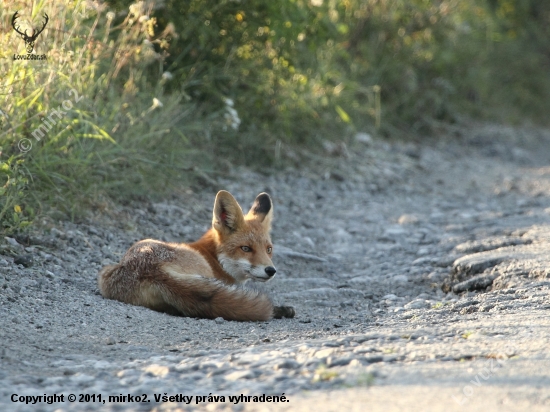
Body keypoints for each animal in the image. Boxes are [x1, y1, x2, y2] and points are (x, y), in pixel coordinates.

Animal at [97, 191, 296, 322]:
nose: (270, 270)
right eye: (246, 248)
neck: (214, 258)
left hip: (106, 272)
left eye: (268, 249)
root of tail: (152, 269)